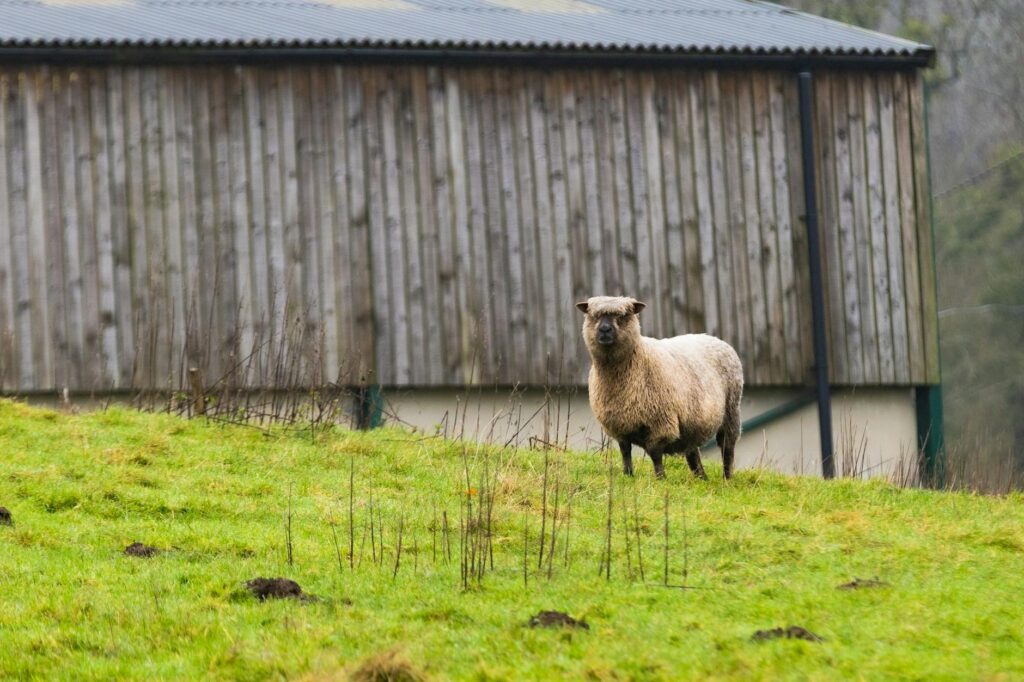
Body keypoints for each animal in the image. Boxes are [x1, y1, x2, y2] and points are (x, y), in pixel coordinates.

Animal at [576, 296, 743, 480]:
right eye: (593, 315)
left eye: (623, 315)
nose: (604, 330)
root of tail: (715, 339)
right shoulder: (620, 426)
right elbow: (625, 451)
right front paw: (628, 475)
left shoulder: (660, 422)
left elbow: (655, 453)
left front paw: (660, 478)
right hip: (691, 421)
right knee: (693, 451)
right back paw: (701, 478)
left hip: (731, 411)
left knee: (727, 446)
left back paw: (727, 478)